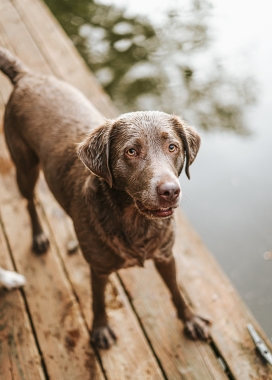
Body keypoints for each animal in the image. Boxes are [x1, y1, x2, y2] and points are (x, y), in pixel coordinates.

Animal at [0, 46, 210, 348]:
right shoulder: (98, 268)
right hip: (25, 167)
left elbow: (176, 291)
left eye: (173, 147)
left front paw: (190, 319)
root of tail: (26, 76)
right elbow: (98, 300)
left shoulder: (165, 255)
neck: (134, 221)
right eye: (131, 151)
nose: (170, 191)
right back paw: (38, 237)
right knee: (29, 201)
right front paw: (100, 329)